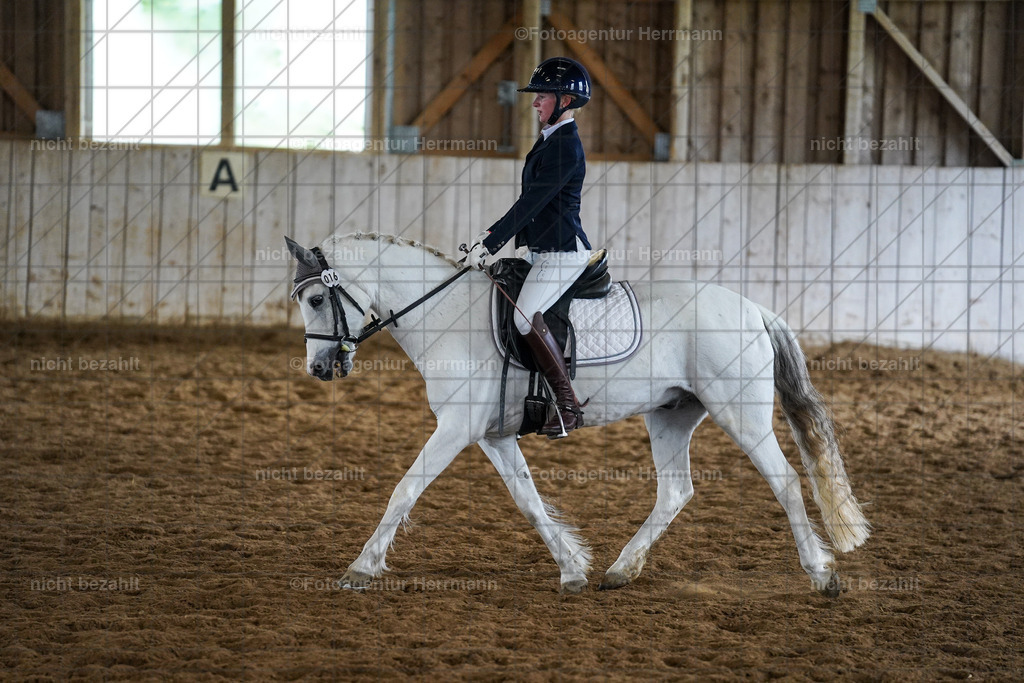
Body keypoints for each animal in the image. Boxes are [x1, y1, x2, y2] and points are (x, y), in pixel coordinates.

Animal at [284, 231, 870, 596]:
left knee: (786, 481)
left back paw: (822, 576)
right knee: (675, 491)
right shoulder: (493, 436)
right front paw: (571, 570)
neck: (445, 314)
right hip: (671, 414)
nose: (319, 368)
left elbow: (405, 489)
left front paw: (361, 568)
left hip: (739, 413)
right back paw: (619, 571)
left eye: (315, 300)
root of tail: (753, 308)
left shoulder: (454, 427)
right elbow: (528, 502)